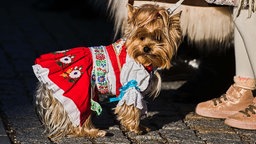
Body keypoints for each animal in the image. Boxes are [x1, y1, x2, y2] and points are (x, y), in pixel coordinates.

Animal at [32, 3, 182, 142]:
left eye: (158, 38)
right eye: (141, 37)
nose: (146, 48)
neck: (141, 59)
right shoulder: (132, 85)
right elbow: (131, 108)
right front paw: (136, 128)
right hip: (79, 94)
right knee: (78, 121)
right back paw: (95, 132)